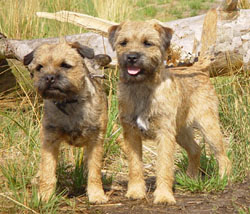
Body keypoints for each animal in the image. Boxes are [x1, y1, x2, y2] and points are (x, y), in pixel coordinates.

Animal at [23, 38, 111, 204]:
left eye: (65, 65)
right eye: (39, 68)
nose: (49, 77)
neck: (70, 102)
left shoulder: (96, 140)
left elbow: (94, 170)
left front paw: (96, 194)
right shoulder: (49, 140)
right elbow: (48, 169)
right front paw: (45, 196)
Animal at [108, 20, 231, 205]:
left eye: (147, 43)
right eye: (123, 43)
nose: (132, 57)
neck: (142, 88)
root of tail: (199, 68)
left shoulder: (164, 134)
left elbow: (164, 166)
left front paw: (164, 196)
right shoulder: (131, 134)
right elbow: (135, 165)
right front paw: (136, 191)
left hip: (208, 126)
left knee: (222, 156)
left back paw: (224, 179)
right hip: (181, 132)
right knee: (195, 149)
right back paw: (191, 177)